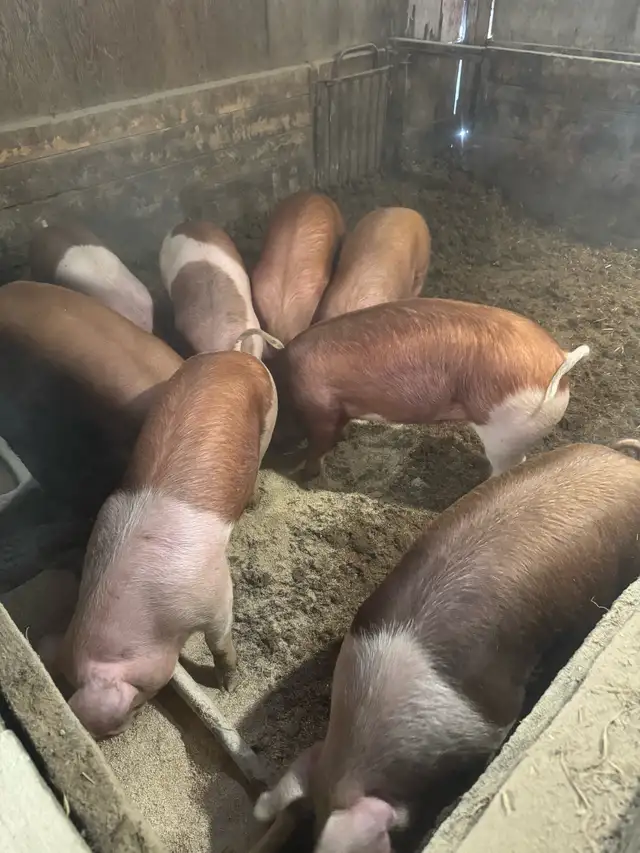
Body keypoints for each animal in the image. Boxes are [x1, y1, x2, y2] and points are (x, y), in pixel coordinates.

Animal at [39, 350, 277, 739]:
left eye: (135, 705)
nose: (110, 733)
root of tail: (235, 355)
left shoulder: (214, 594)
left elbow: (219, 640)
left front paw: (229, 686)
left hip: (271, 415)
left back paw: (255, 501)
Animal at [268, 297, 589, 480]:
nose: (272, 450)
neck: (287, 381)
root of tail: (560, 358)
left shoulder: (321, 406)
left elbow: (319, 444)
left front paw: (303, 476)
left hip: (506, 430)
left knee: (507, 467)